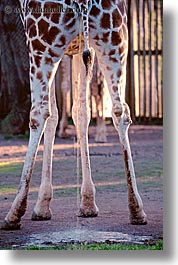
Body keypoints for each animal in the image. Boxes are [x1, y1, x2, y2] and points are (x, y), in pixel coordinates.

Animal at [1, 0, 147, 229]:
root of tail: (84, 2)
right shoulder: (81, 49)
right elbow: (81, 112)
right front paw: (88, 203)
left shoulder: (55, 49)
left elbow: (53, 115)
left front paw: (42, 206)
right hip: (114, 42)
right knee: (120, 111)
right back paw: (137, 210)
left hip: (43, 47)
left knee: (39, 112)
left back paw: (14, 212)